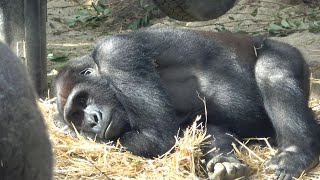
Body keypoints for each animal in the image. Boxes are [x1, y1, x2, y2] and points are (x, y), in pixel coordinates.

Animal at [55, 27, 320, 179]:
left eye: (83, 99)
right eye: (77, 117)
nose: (92, 121)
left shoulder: (115, 55)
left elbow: (156, 137)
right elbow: (197, 130)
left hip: (285, 52)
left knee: (272, 70)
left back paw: (296, 153)